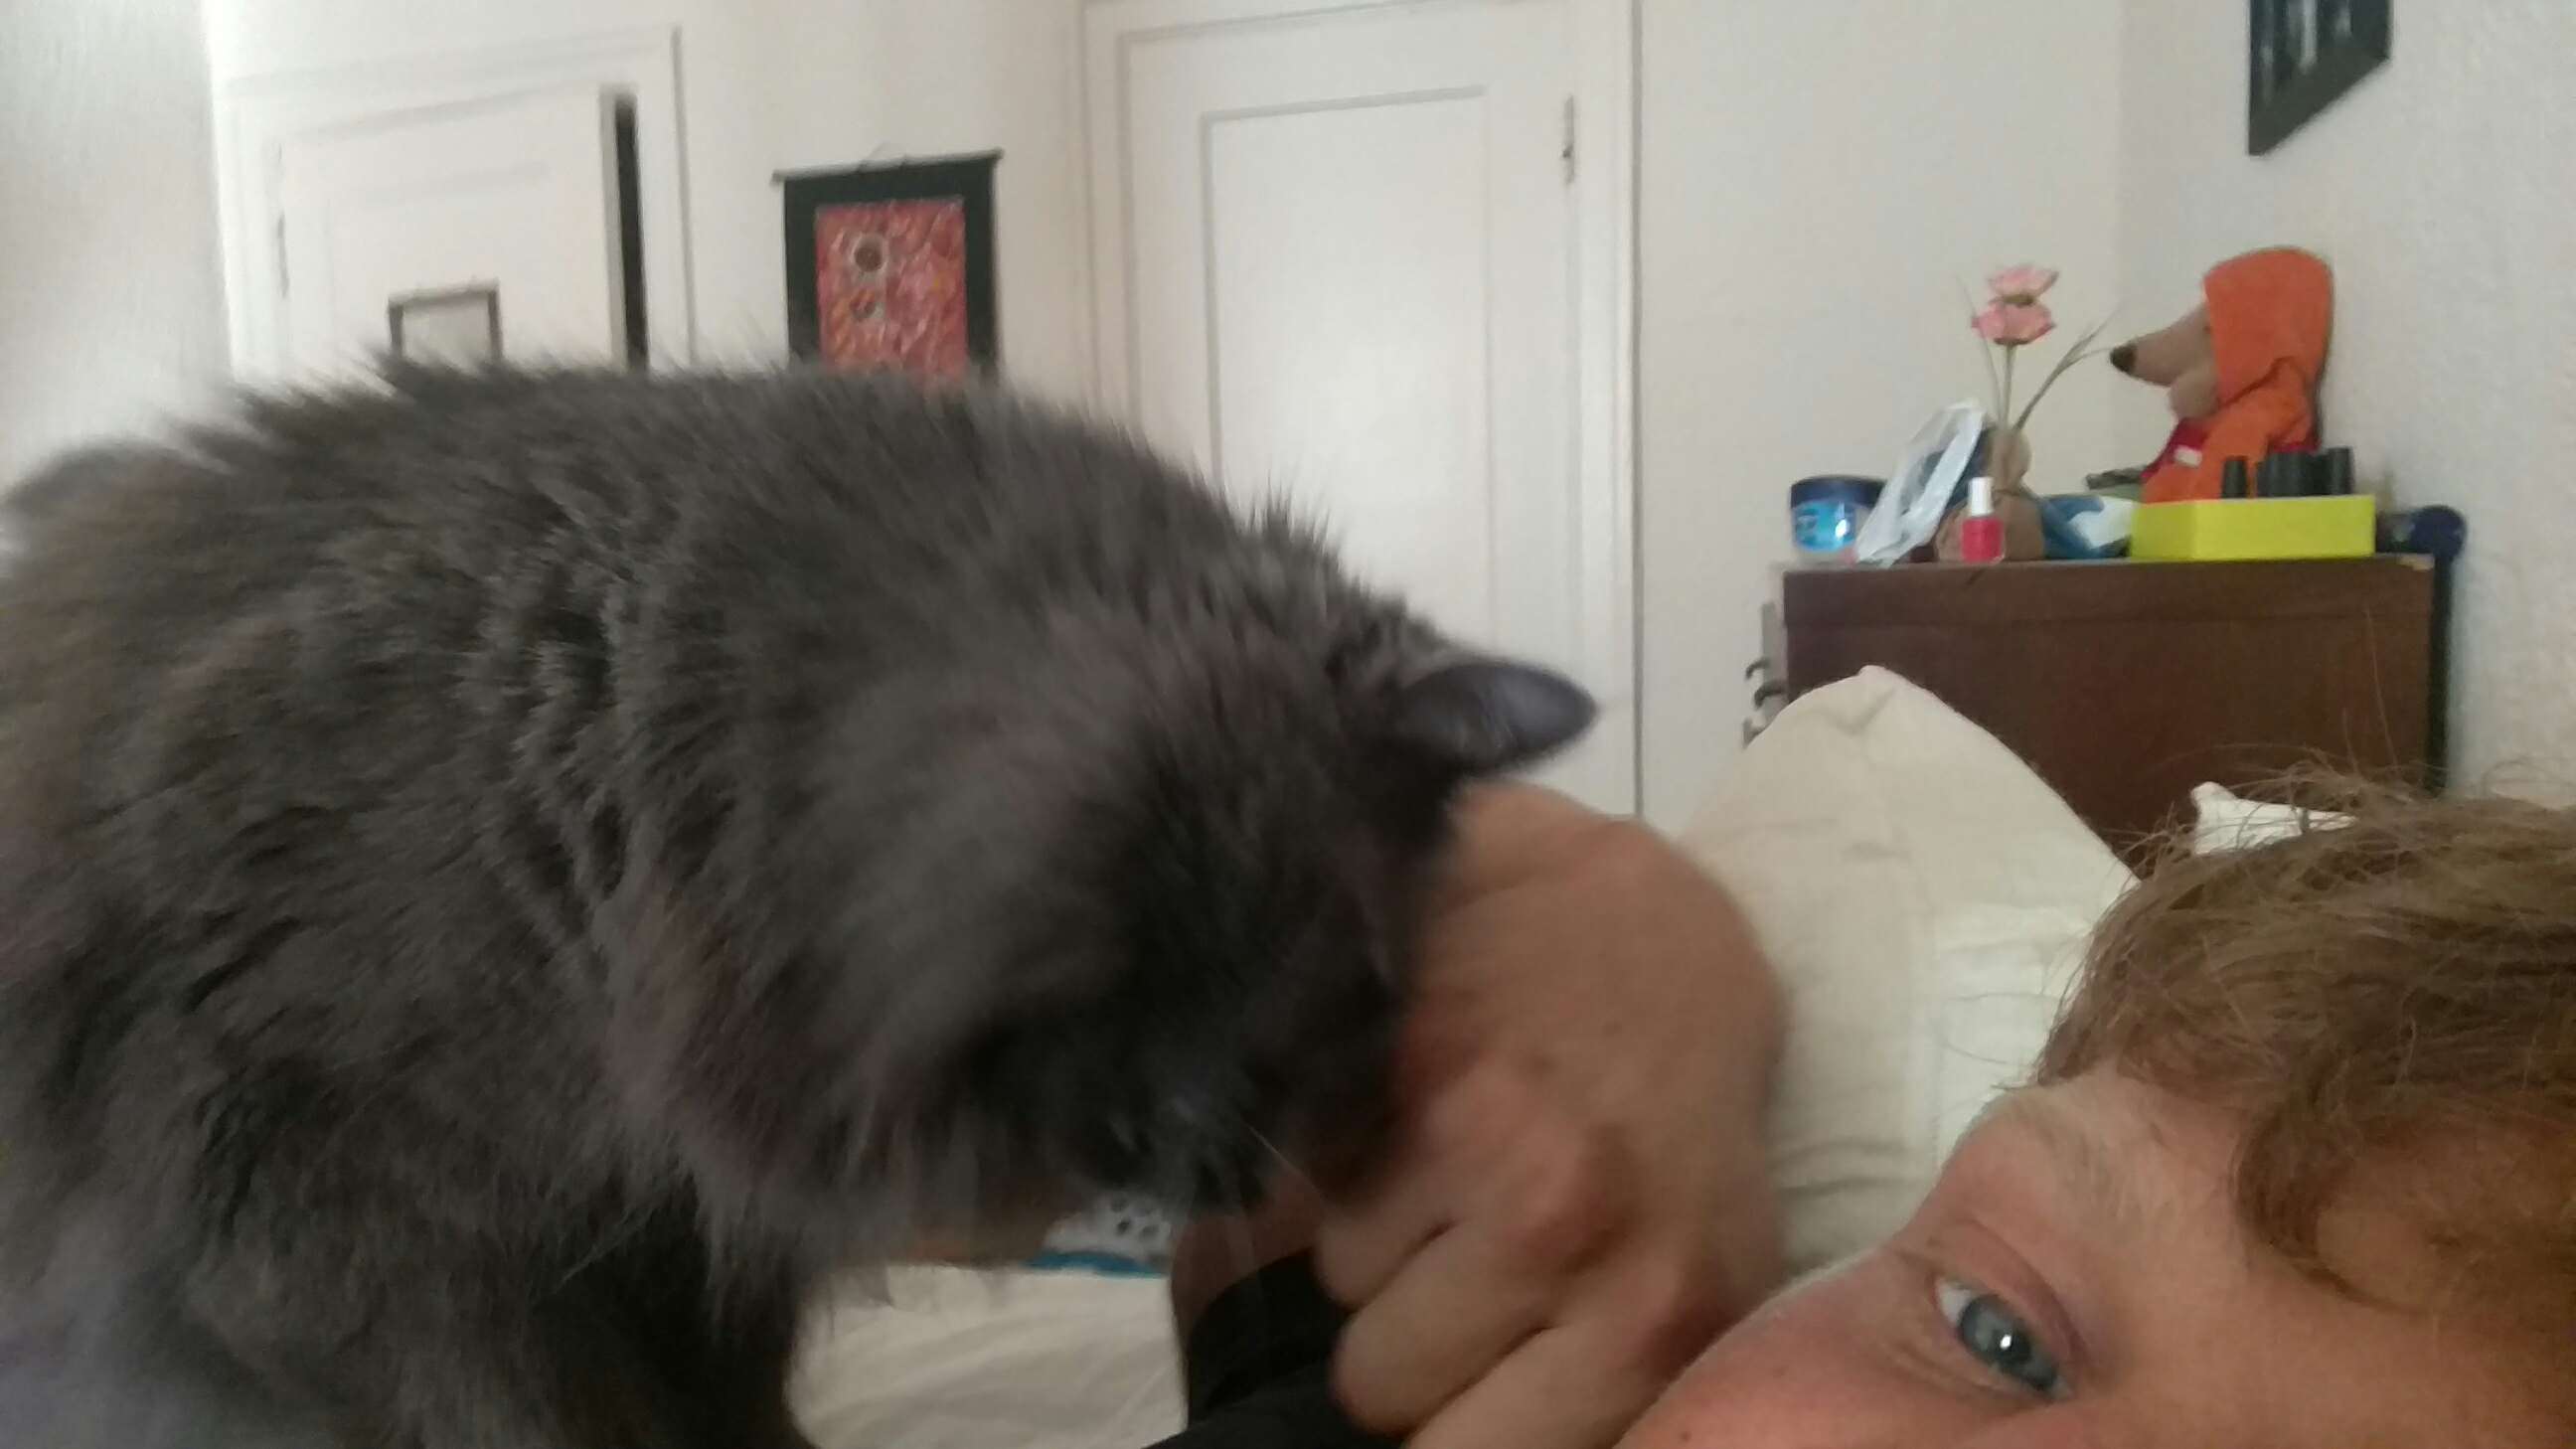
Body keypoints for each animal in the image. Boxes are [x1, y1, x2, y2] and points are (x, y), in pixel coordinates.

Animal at [0, 366, 1592, 1449]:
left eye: (1370, 1005)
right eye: (1339, 963)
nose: (1239, 1181)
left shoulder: (689, 1240)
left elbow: (734, 1404)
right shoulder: (327, 1202)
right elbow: (524, 1412)